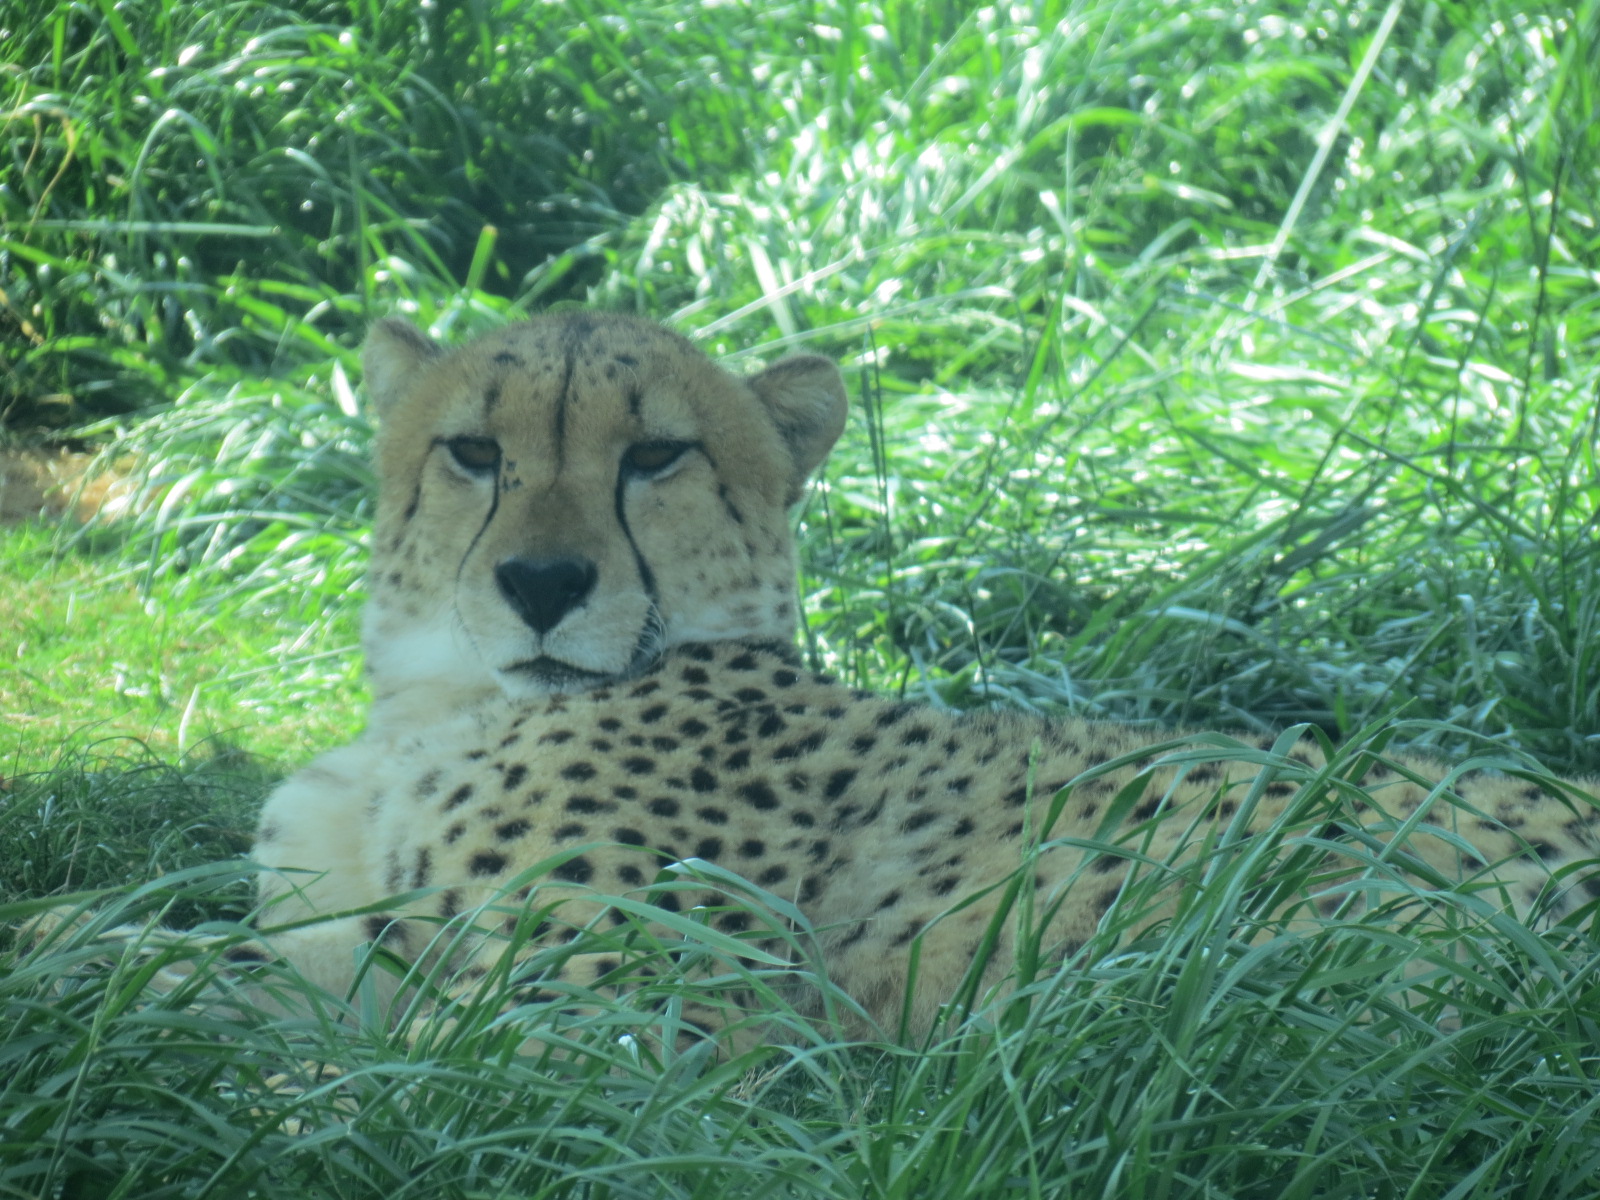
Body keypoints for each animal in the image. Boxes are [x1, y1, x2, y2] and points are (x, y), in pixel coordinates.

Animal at [249, 311, 1600, 1040]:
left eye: (658, 457)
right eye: (473, 452)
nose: (541, 584)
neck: (435, 710)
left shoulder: (622, 1032)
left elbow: (359, 1097)